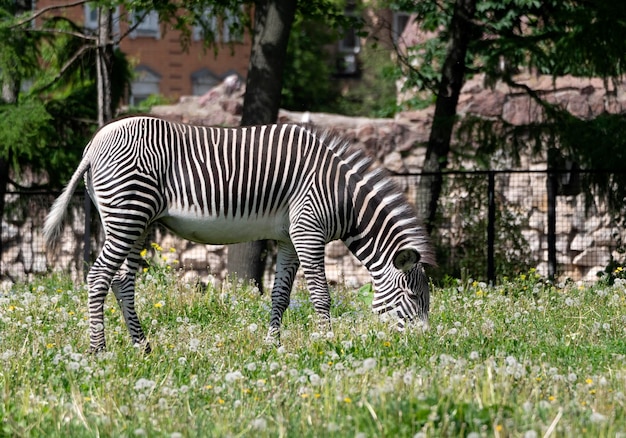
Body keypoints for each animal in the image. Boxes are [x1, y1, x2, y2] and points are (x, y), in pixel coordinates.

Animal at [45, 115, 434, 352]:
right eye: (413, 297)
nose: (423, 345)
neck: (343, 196)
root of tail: (93, 145)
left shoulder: (288, 238)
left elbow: (280, 296)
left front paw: (273, 345)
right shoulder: (309, 230)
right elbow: (321, 295)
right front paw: (327, 342)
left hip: (133, 222)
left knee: (122, 281)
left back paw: (142, 347)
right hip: (129, 213)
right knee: (99, 276)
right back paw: (99, 350)